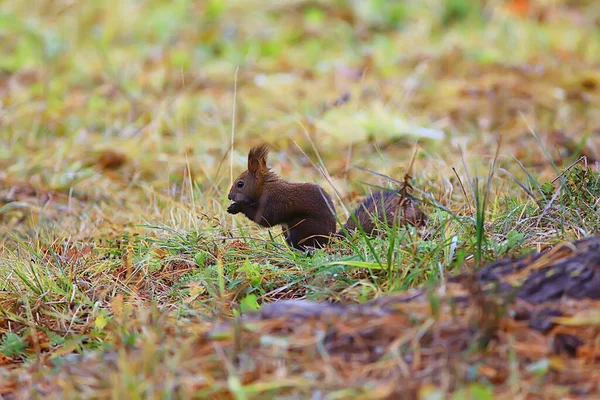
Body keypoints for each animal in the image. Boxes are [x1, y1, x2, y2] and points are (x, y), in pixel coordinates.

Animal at [226, 144, 426, 250]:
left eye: (240, 184)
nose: (229, 196)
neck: (265, 187)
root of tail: (330, 238)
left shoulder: (275, 200)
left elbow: (265, 219)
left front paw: (238, 207)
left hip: (302, 228)